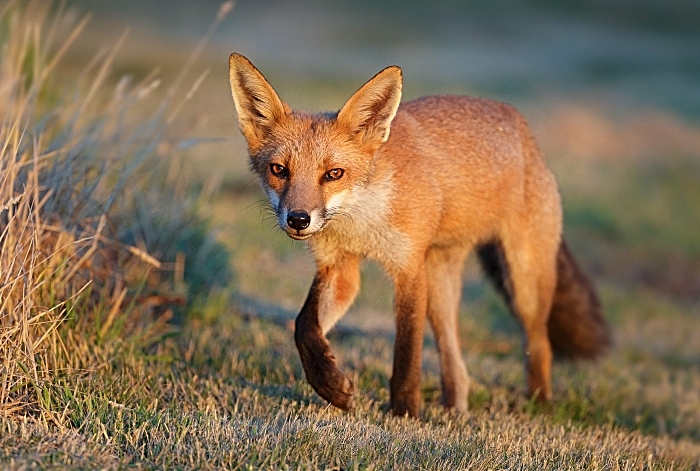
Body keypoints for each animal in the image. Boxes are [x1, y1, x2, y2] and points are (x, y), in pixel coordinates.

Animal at [227, 53, 608, 418]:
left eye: (334, 174)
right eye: (279, 170)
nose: (298, 220)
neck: (361, 221)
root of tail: (523, 128)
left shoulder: (408, 269)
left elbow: (407, 351)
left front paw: (405, 412)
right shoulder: (339, 268)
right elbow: (304, 325)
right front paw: (330, 384)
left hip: (523, 280)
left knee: (540, 344)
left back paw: (539, 405)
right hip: (441, 290)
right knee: (457, 366)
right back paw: (454, 410)